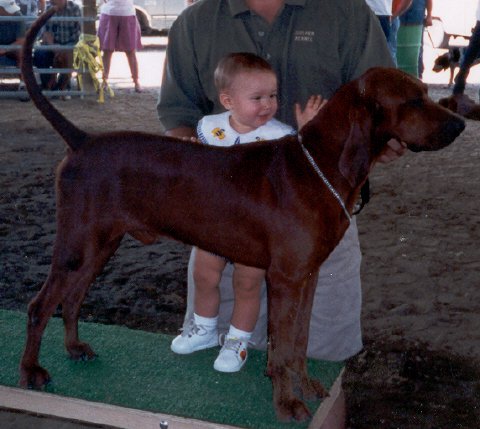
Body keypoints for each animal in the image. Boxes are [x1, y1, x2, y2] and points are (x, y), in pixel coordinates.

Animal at [18, 8, 464, 422]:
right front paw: (286, 403)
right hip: (78, 244)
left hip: (101, 244)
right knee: (40, 305)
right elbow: (281, 348)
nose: (461, 123)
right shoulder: (285, 279)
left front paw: (304, 385)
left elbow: (299, 342)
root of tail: (83, 140)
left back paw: (74, 348)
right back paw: (31, 371)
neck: (319, 165)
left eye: (425, 92)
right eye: (413, 100)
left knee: (72, 298)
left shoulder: (307, 275)